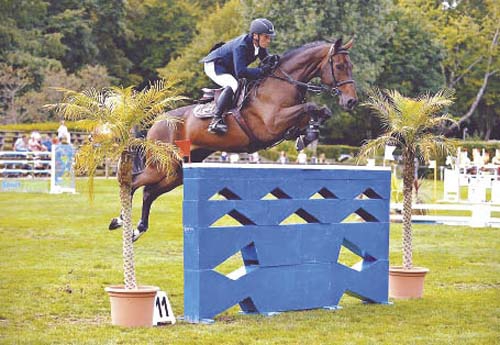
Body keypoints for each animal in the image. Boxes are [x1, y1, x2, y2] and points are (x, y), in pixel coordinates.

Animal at [110, 37, 360, 239]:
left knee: (149, 192)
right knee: (133, 184)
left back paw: (138, 229)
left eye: (350, 66)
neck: (281, 84)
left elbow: (319, 112)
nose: (351, 102)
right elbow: (310, 107)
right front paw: (309, 132)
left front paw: (308, 134)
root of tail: (157, 123)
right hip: (161, 166)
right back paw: (120, 220)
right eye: (339, 66)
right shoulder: (271, 123)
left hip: (177, 173)